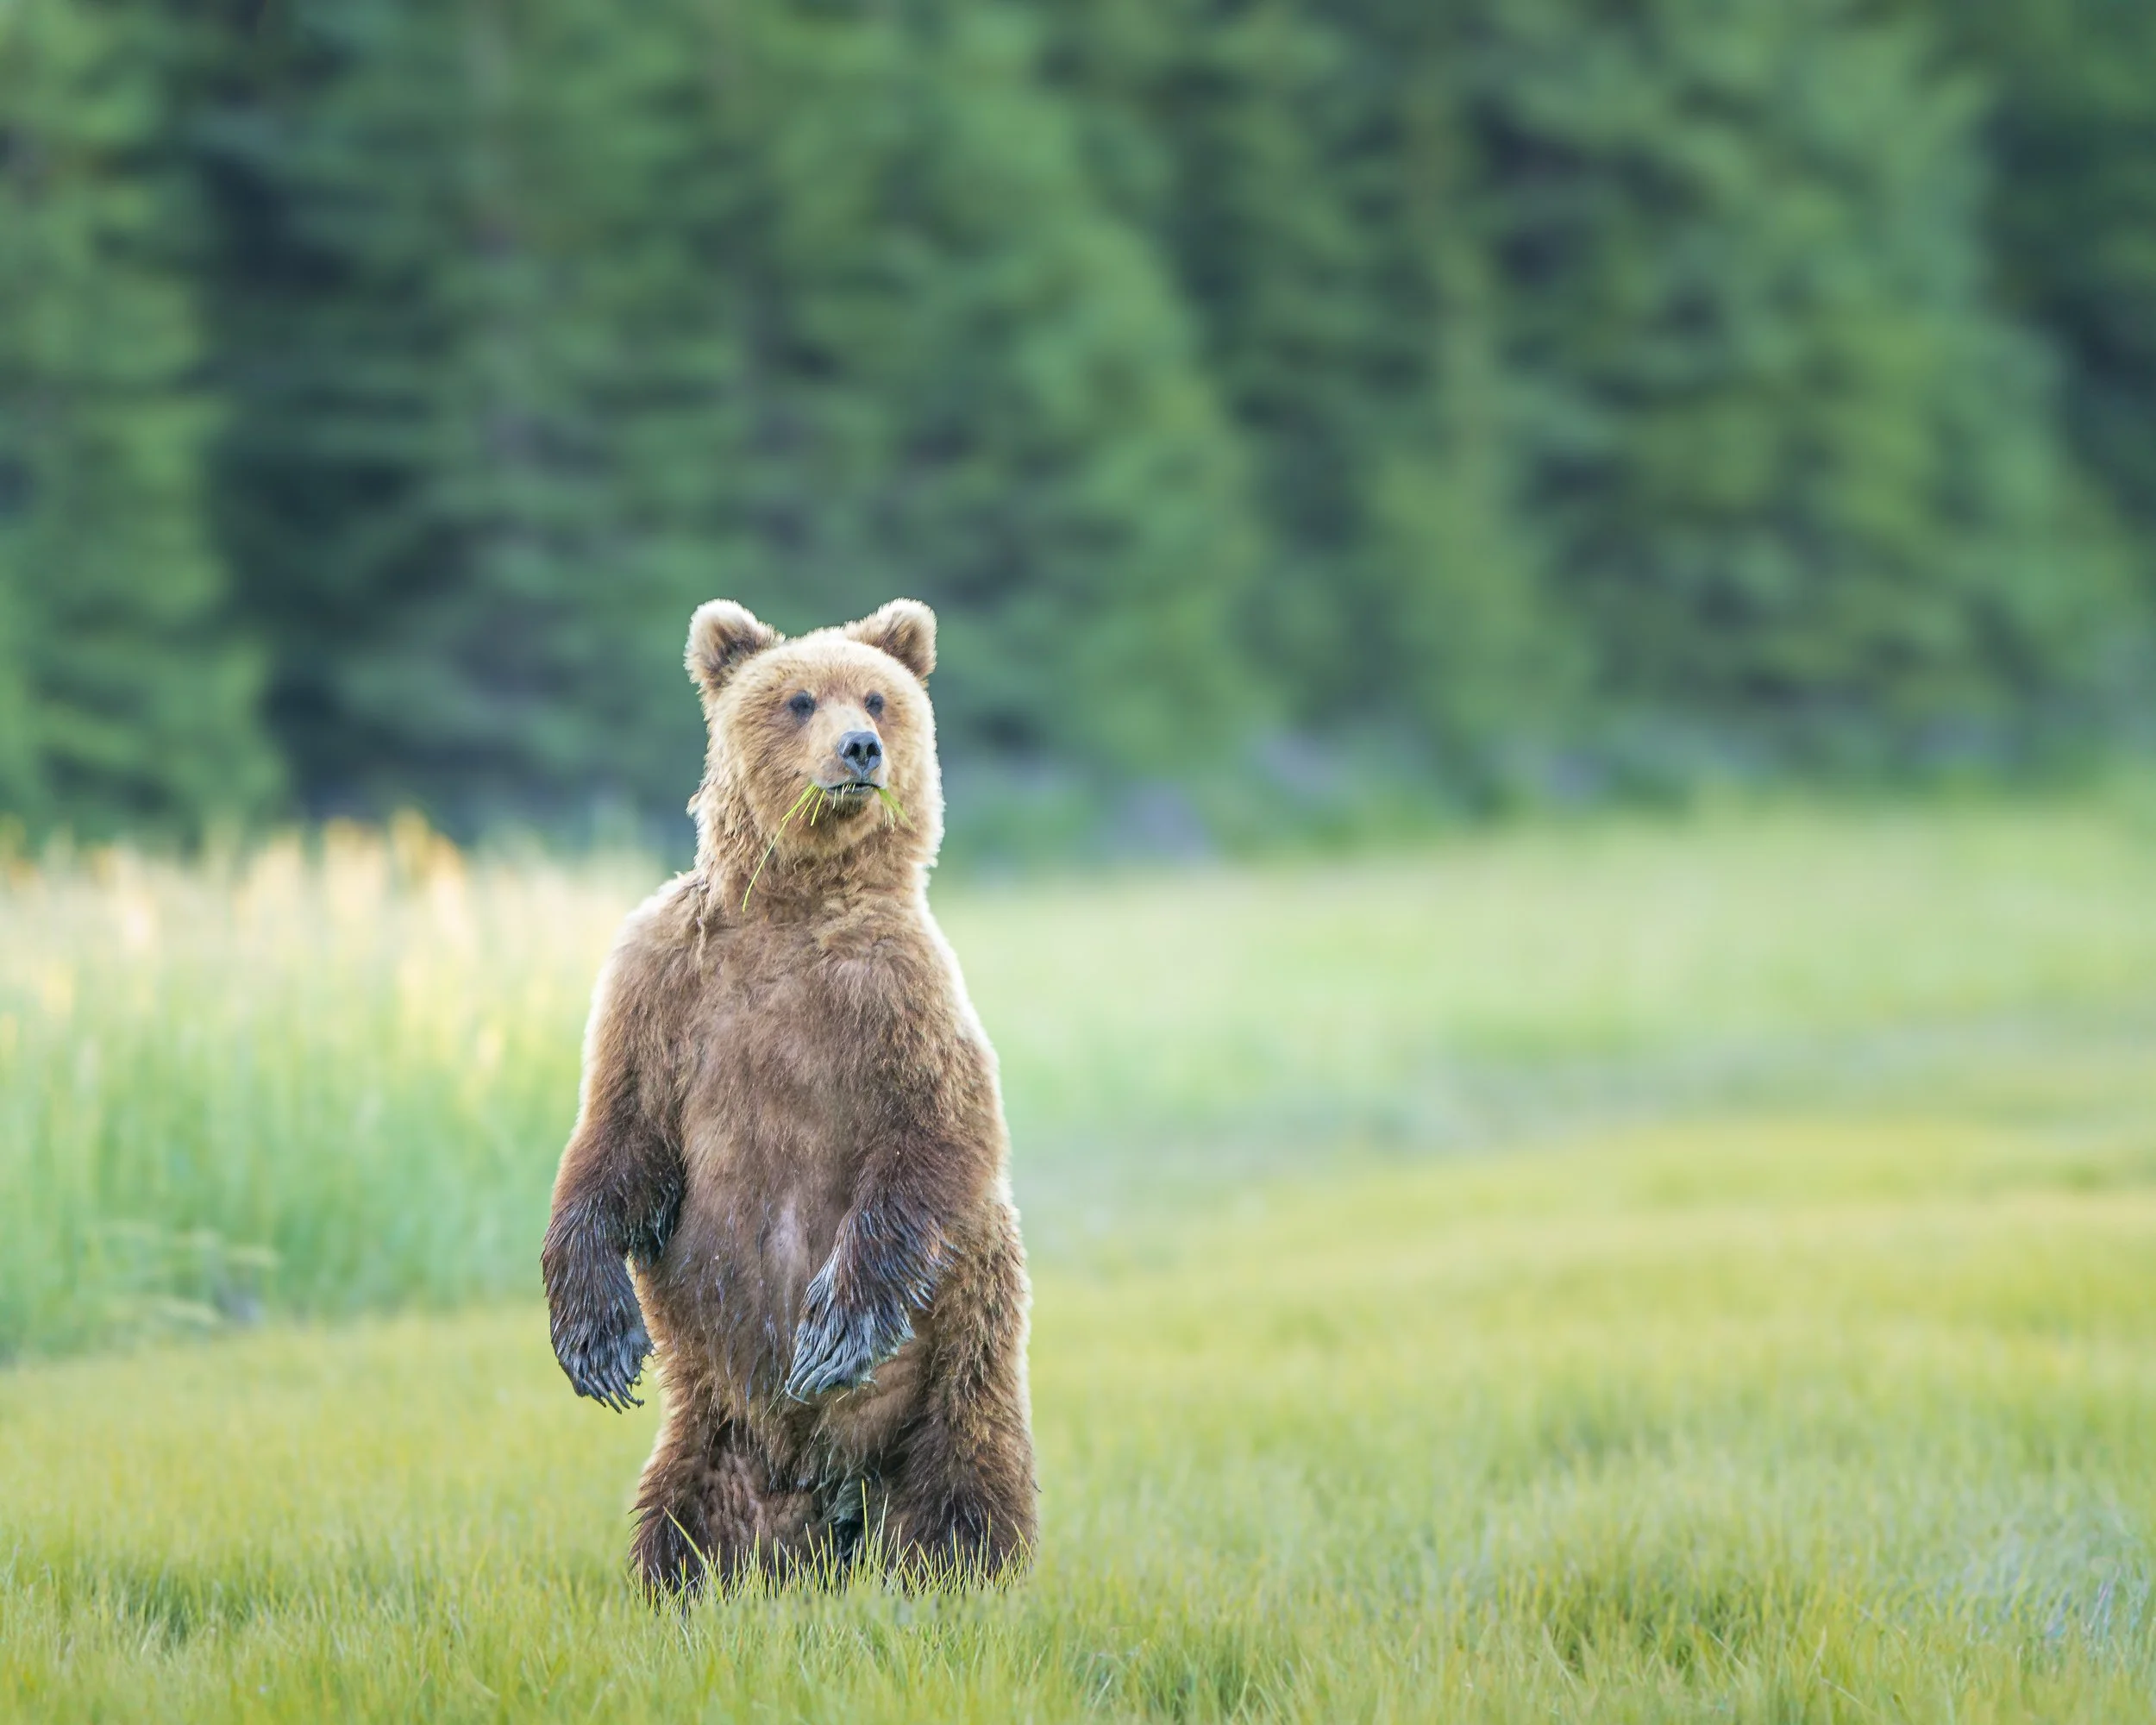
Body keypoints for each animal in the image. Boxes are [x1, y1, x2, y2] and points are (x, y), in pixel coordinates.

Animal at [541, 597, 1037, 1596]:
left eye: (878, 698)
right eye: (800, 698)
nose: (860, 748)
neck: (792, 906)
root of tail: (835, 1492)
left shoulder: (899, 996)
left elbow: (939, 1135)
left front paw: (832, 1335)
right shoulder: (664, 986)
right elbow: (620, 1136)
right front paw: (596, 1340)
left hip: (958, 1364)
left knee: (963, 1487)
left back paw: (954, 1578)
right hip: (719, 1425)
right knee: (688, 1511)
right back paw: (685, 1587)